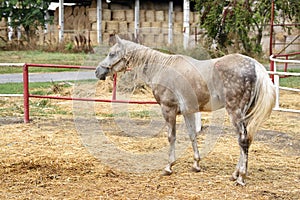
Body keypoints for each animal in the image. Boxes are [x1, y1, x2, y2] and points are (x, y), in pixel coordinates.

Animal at [95, 35, 276, 186]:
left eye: (111, 53)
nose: (98, 71)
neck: (162, 68)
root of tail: (255, 66)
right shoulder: (189, 112)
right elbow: (192, 135)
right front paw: (196, 164)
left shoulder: (168, 110)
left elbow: (171, 137)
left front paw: (168, 167)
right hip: (245, 114)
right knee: (246, 140)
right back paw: (235, 174)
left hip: (235, 113)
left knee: (243, 140)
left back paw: (240, 177)